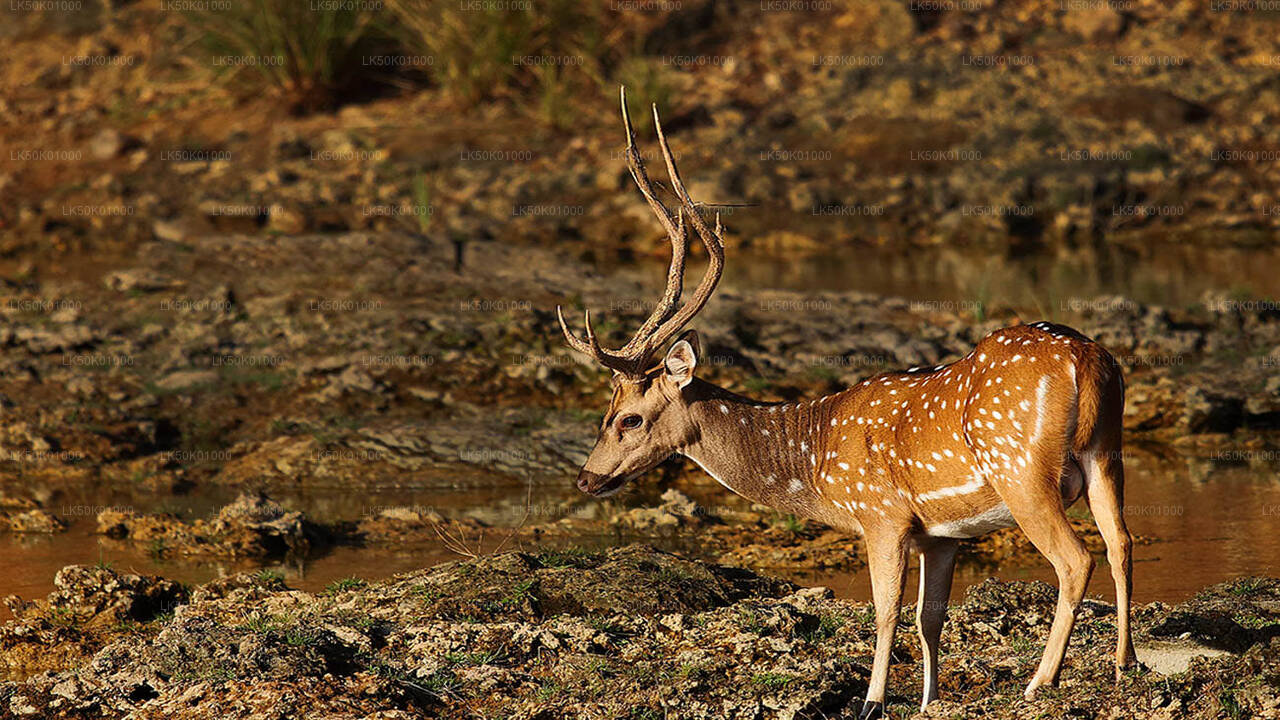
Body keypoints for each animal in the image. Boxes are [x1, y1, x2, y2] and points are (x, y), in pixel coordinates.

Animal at [557, 88, 1137, 719]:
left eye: (628, 418)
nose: (586, 478)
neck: (816, 459)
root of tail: (1086, 361)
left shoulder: (881, 514)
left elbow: (885, 612)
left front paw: (872, 700)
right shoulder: (941, 534)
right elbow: (929, 619)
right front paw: (930, 700)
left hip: (1021, 469)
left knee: (1076, 558)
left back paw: (1041, 681)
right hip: (1107, 452)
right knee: (1121, 543)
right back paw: (1125, 664)